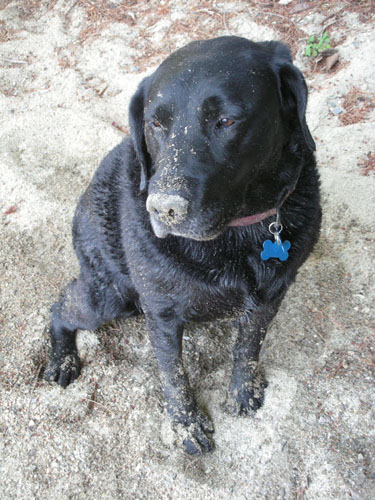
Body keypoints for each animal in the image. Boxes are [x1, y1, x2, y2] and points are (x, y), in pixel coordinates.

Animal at [45, 37, 322, 456]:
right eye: (155, 123)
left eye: (227, 121)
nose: (162, 209)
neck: (236, 234)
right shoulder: (161, 313)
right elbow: (172, 374)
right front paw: (185, 426)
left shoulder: (271, 296)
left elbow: (248, 347)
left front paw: (243, 390)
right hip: (108, 295)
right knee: (61, 306)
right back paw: (62, 359)